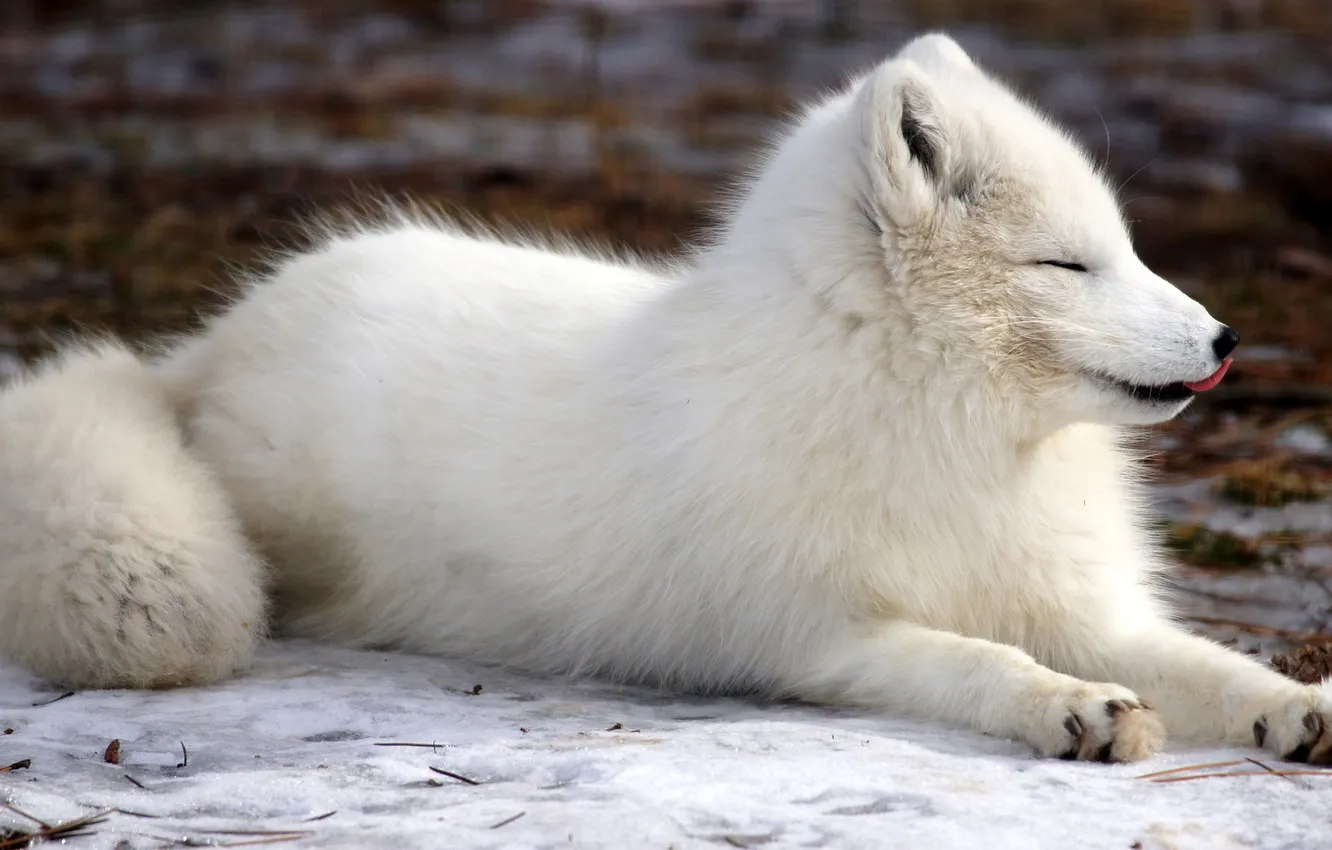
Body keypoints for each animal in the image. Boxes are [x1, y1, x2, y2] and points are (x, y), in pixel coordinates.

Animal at [0, 33, 1327, 765]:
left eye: (1127, 247)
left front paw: (1293, 705)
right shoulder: (811, 636)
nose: (1227, 339)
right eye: (1069, 264)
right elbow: (978, 663)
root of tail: (204, 351)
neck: (953, 437)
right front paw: (1073, 707)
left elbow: (1205, 662)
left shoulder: (1077, 601)